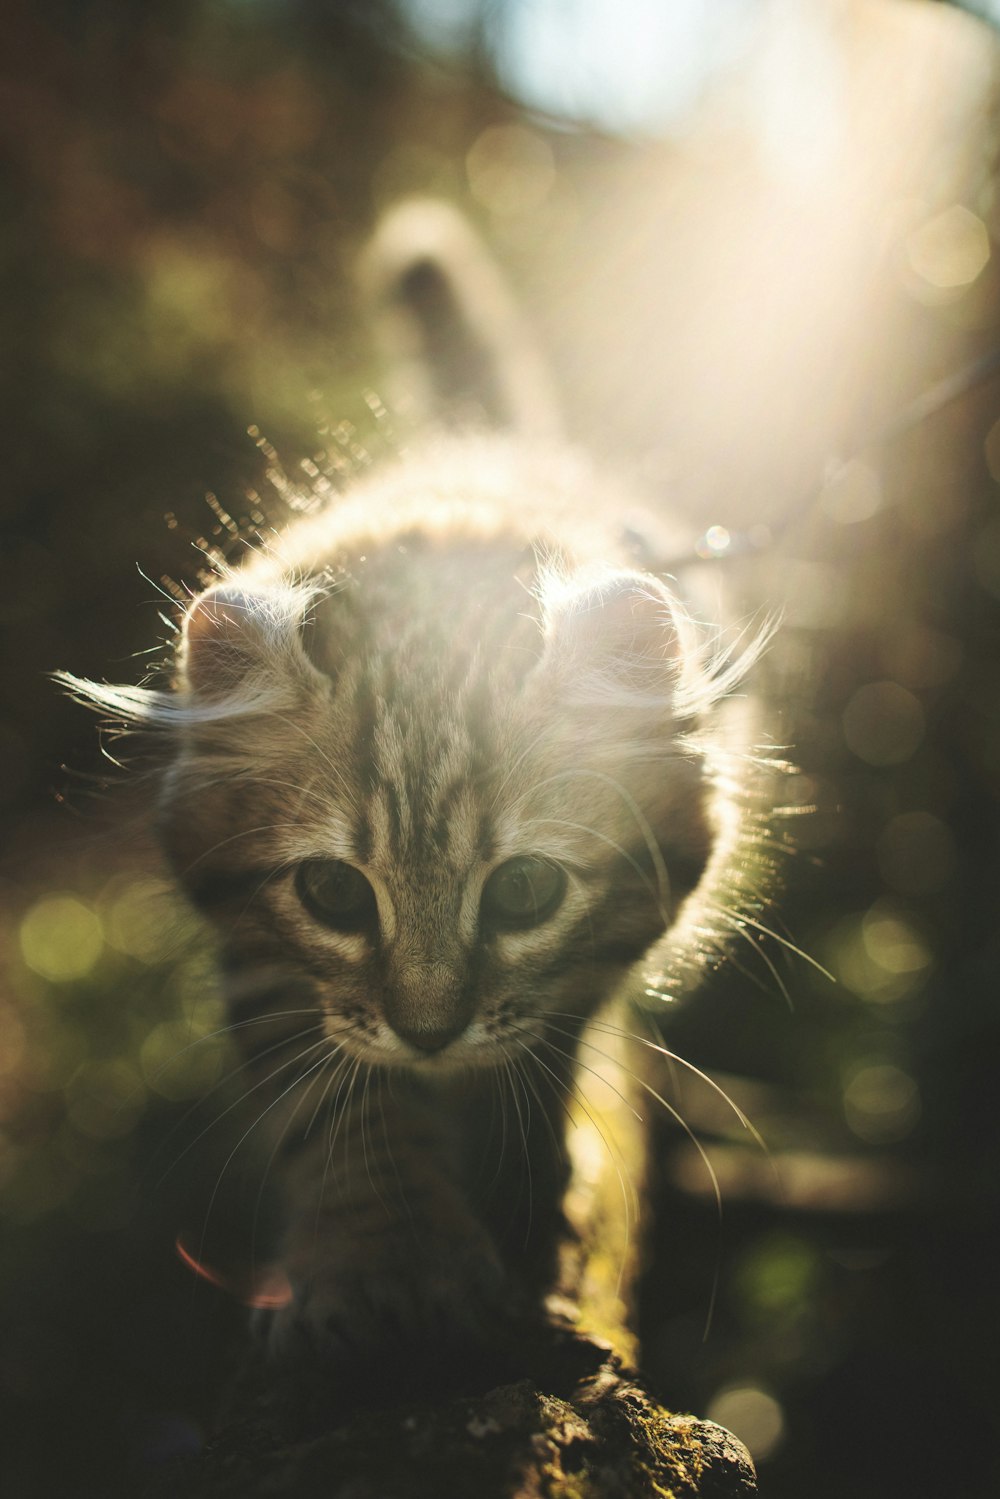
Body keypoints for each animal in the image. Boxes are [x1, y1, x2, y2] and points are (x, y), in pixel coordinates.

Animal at [60, 205, 767, 1385]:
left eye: (525, 890)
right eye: (335, 894)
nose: (428, 1031)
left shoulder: (583, 967)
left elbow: (537, 1053)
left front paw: (524, 1199)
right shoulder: (266, 963)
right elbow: (339, 1114)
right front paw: (378, 1264)